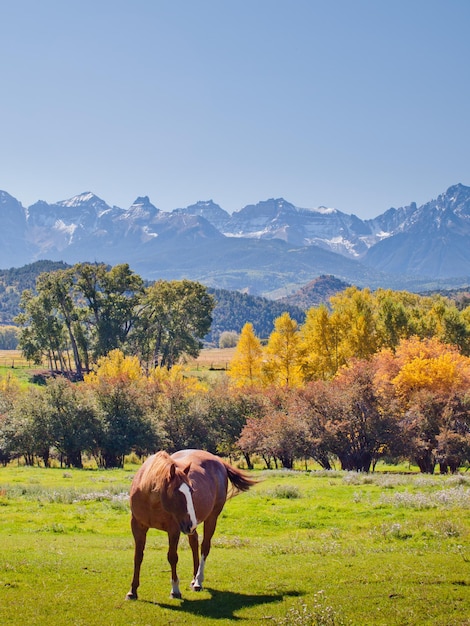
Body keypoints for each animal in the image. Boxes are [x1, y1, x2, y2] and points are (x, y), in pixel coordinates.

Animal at [126, 446, 258, 596]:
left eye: (192, 491)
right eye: (176, 493)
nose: (191, 524)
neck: (151, 500)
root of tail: (218, 461)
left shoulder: (174, 529)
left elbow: (172, 557)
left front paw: (175, 589)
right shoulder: (138, 526)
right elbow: (138, 557)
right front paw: (132, 591)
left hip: (210, 518)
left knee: (205, 547)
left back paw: (198, 581)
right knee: (194, 542)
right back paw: (194, 578)